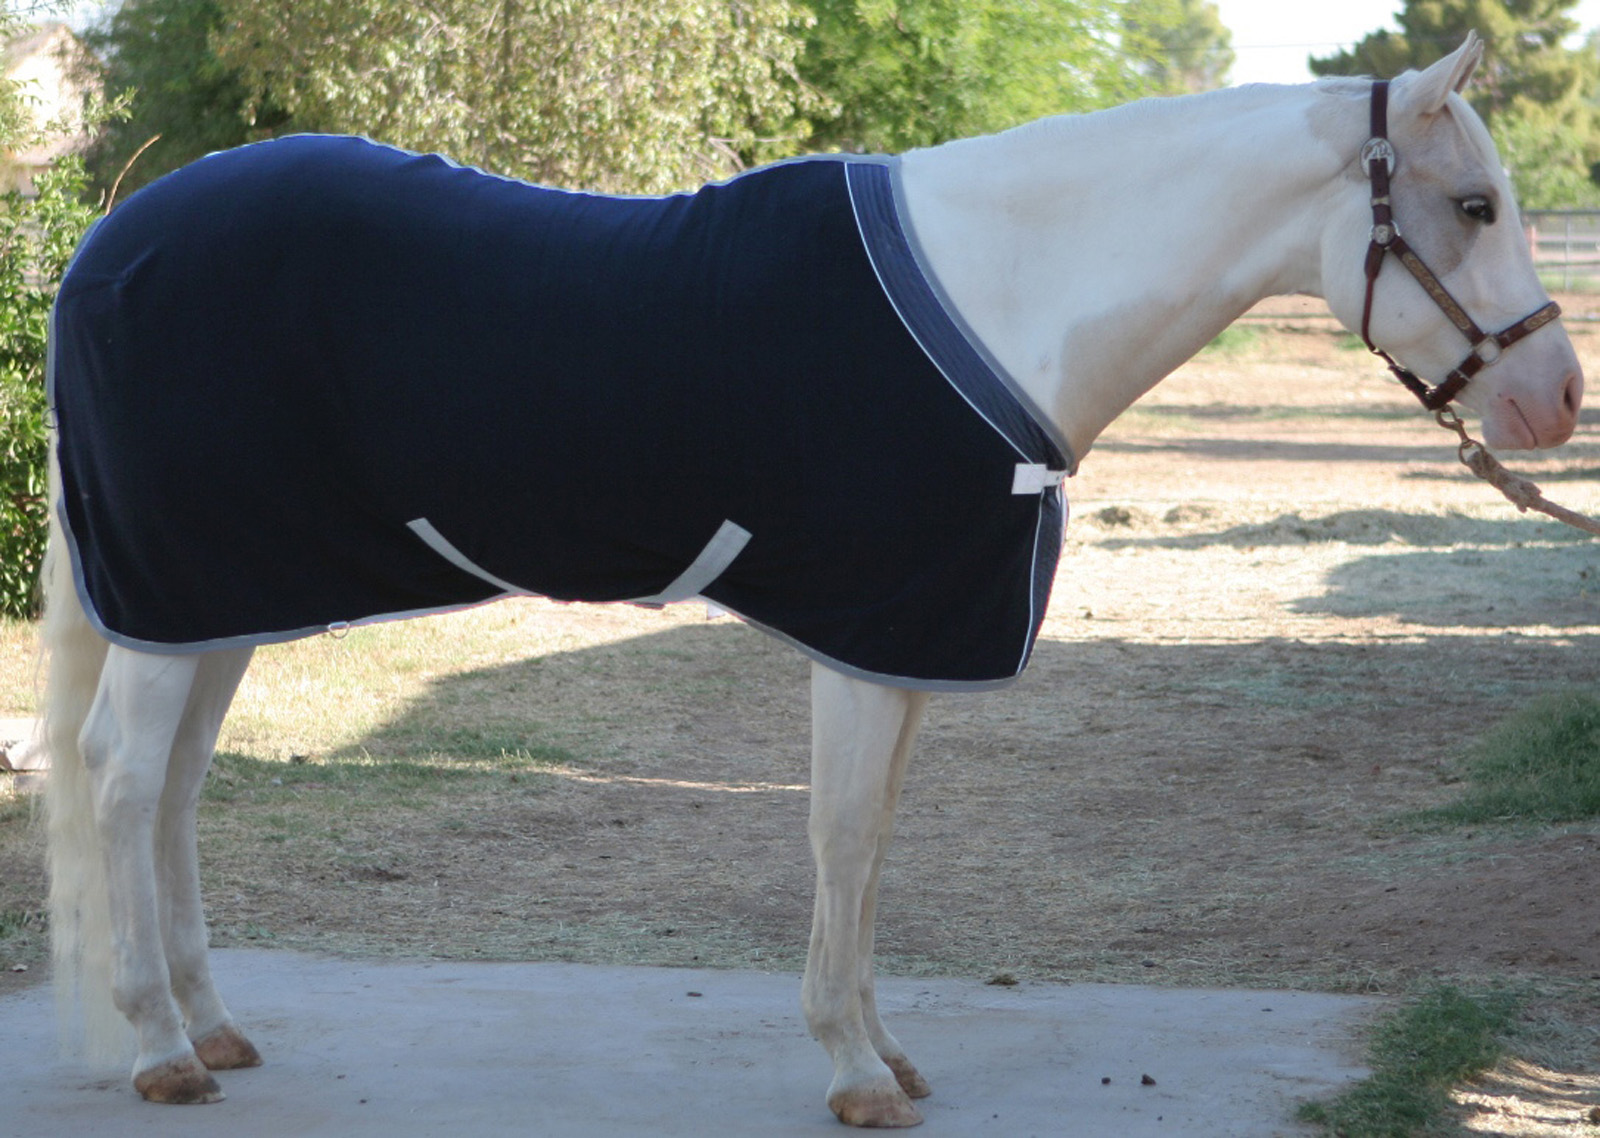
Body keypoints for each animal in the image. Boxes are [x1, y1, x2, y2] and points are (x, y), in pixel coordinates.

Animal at [40, 33, 1581, 1128]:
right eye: (1472, 203)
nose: (1558, 400)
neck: (1000, 292)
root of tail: (105, 243)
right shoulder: (871, 630)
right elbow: (842, 832)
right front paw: (850, 1070)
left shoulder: (901, 642)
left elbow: (877, 838)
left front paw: (886, 1049)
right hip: (179, 600)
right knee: (121, 773)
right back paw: (163, 1050)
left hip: (219, 596)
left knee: (173, 787)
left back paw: (211, 1024)